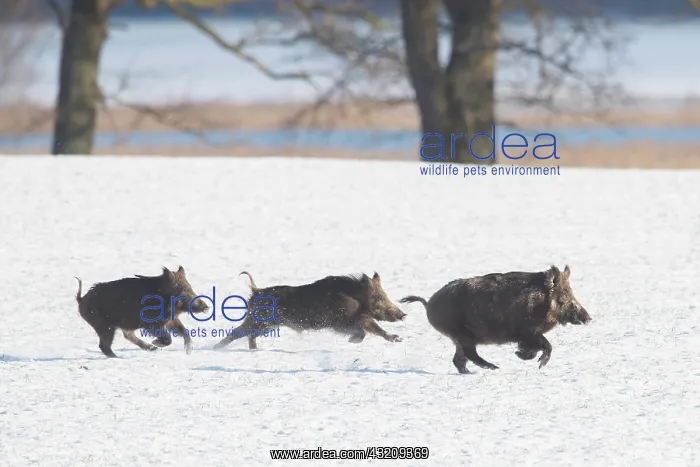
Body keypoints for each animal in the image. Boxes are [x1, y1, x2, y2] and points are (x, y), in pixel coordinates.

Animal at [75, 266, 209, 358]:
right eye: (183, 290)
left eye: (190, 287)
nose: (206, 307)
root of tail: (81, 299)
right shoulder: (152, 323)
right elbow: (167, 338)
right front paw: (156, 343)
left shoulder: (171, 320)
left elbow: (184, 331)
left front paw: (189, 351)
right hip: (104, 326)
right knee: (105, 345)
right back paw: (119, 357)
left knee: (127, 336)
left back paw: (151, 349)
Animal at [213, 271, 407, 350]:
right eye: (379, 297)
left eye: (385, 295)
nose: (403, 315)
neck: (354, 298)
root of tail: (255, 292)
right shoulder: (339, 322)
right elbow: (368, 330)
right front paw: (353, 341)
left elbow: (373, 329)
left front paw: (398, 339)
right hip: (259, 321)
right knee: (237, 333)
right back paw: (216, 348)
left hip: (265, 325)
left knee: (248, 335)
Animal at [400, 265, 590, 374]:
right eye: (564, 294)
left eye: (570, 291)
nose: (588, 318)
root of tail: (428, 304)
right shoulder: (527, 331)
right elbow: (547, 345)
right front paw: (538, 364)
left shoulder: (527, 336)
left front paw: (522, 355)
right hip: (463, 335)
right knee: (470, 354)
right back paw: (494, 367)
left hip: (459, 338)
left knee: (459, 359)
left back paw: (470, 371)